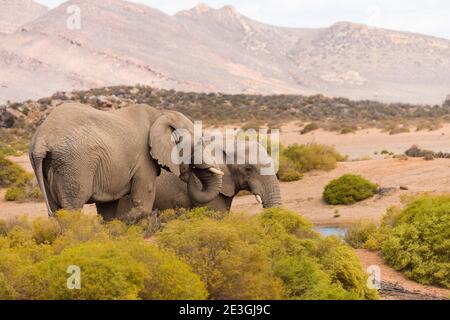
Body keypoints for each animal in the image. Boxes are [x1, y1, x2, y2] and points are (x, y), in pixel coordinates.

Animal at [29, 102, 223, 220]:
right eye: (198, 142)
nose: (188, 173)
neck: (161, 114)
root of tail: (41, 139)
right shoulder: (143, 159)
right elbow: (143, 202)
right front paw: (126, 221)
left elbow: (107, 210)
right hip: (73, 163)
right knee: (71, 210)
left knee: (56, 211)